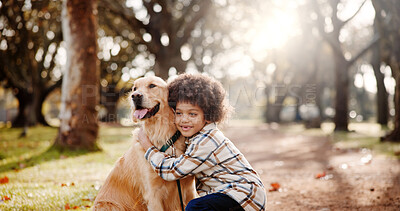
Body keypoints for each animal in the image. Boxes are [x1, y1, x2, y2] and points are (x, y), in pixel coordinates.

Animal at [94, 76, 200, 210]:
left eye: (152, 85)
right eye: (134, 88)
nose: (135, 96)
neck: (161, 134)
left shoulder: (189, 190)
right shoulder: (153, 194)